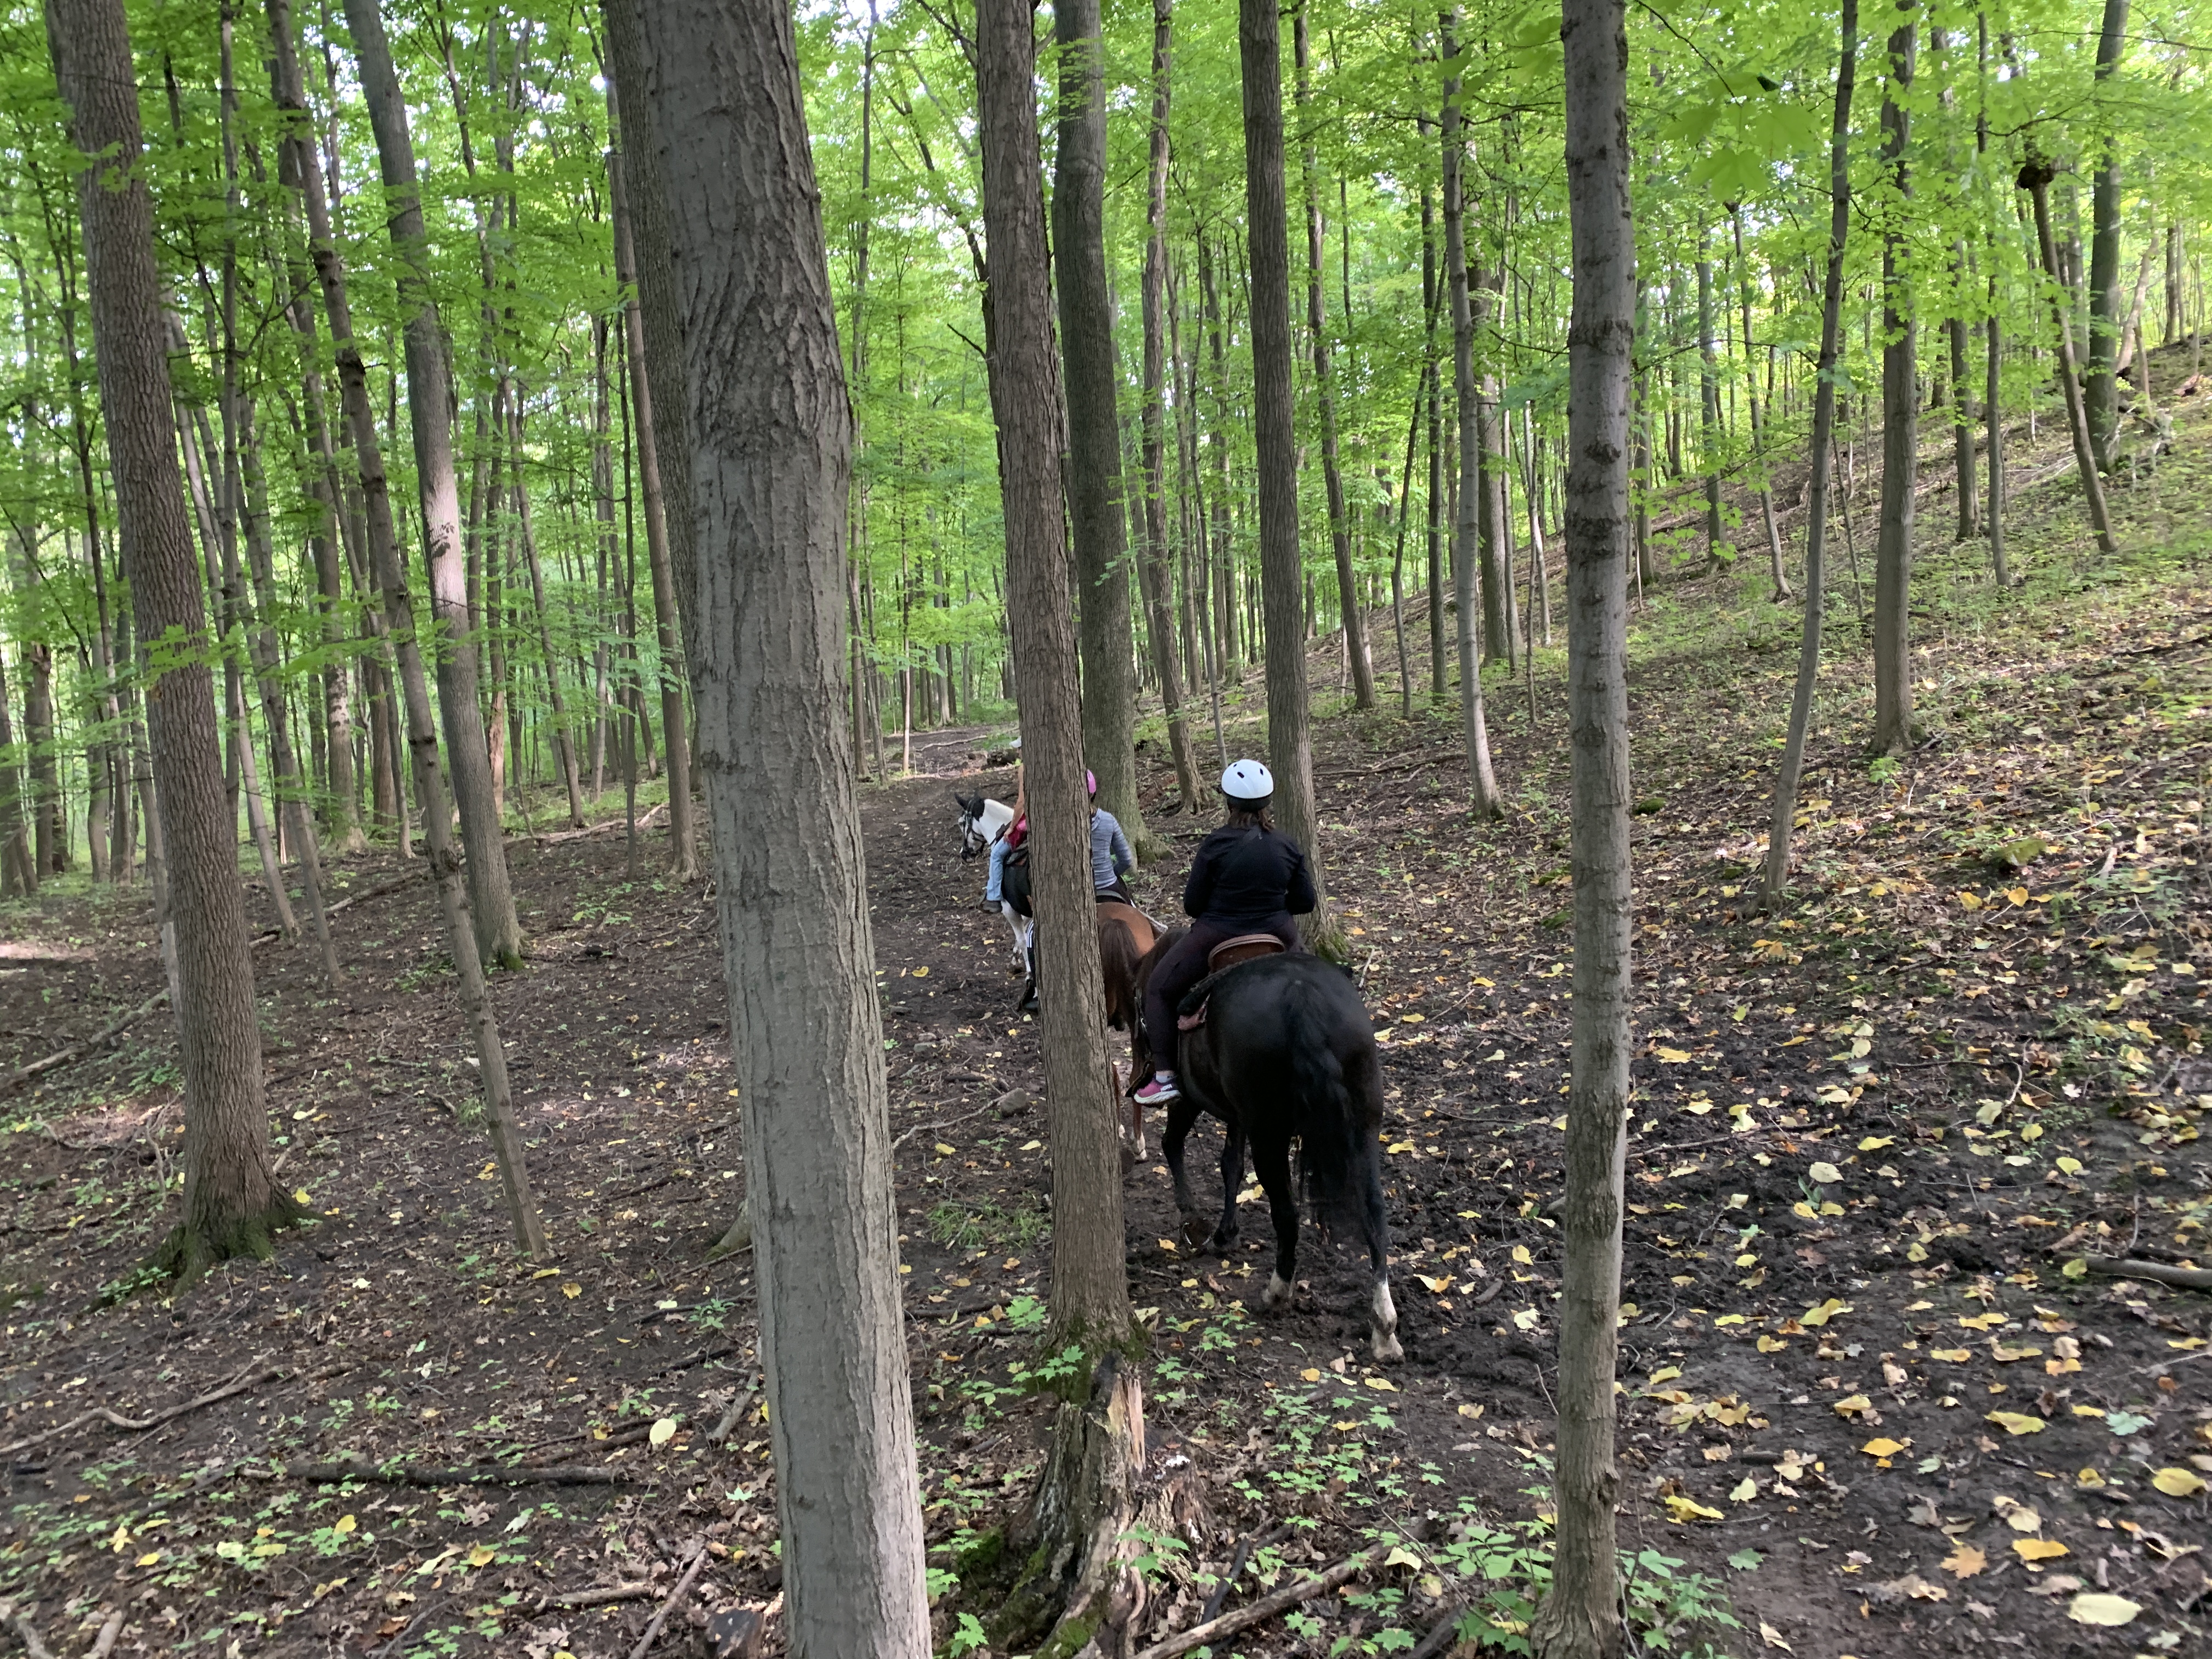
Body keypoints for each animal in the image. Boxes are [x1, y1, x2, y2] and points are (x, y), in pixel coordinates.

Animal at [1141, 938, 1398, 1362]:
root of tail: (1300, 994)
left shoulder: (1192, 1097)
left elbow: (1176, 1144)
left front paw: (1194, 1220)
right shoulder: (1239, 1117)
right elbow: (1230, 1164)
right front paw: (1224, 1233)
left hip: (1269, 1134)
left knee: (1287, 1213)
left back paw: (1277, 1293)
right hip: (1363, 1125)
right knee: (1374, 1210)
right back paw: (1384, 1327)